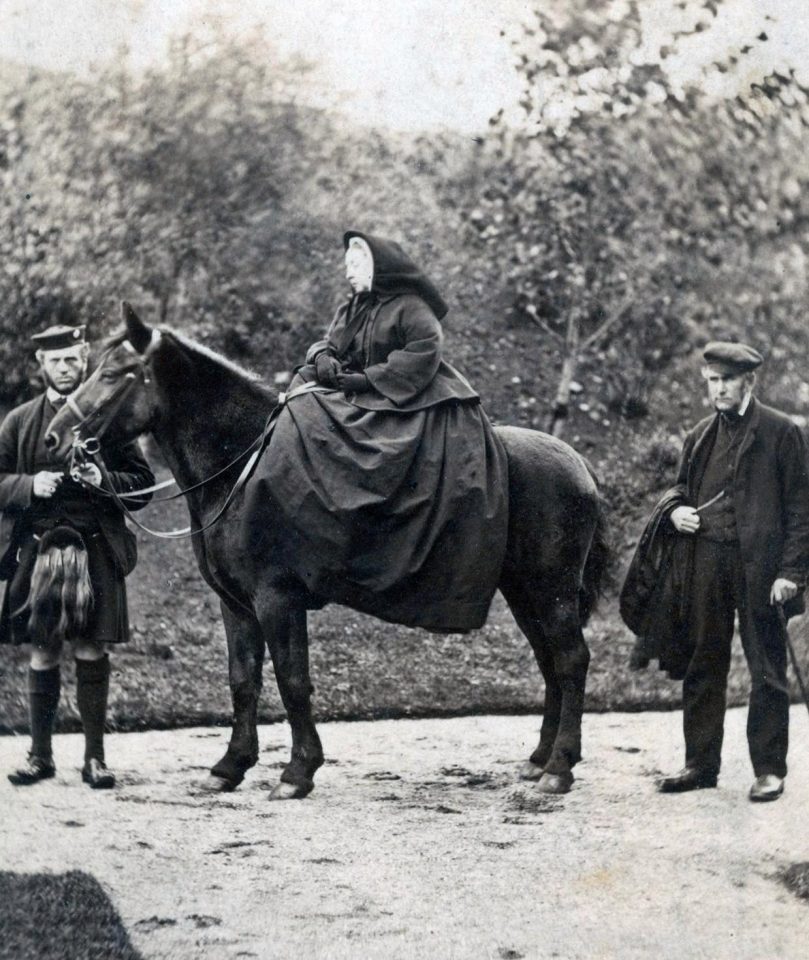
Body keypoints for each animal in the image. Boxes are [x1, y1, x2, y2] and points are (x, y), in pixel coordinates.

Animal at [47, 306, 608, 796]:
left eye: (115, 373)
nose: (55, 438)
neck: (242, 465)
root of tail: (578, 463)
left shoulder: (278, 598)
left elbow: (293, 681)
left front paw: (298, 772)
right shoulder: (236, 604)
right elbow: (242, 680)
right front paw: (231, 765)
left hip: (551, 590)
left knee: (571, 659)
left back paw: (559, 768)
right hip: (525, 593)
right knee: (550, 662)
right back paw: (539, 760)